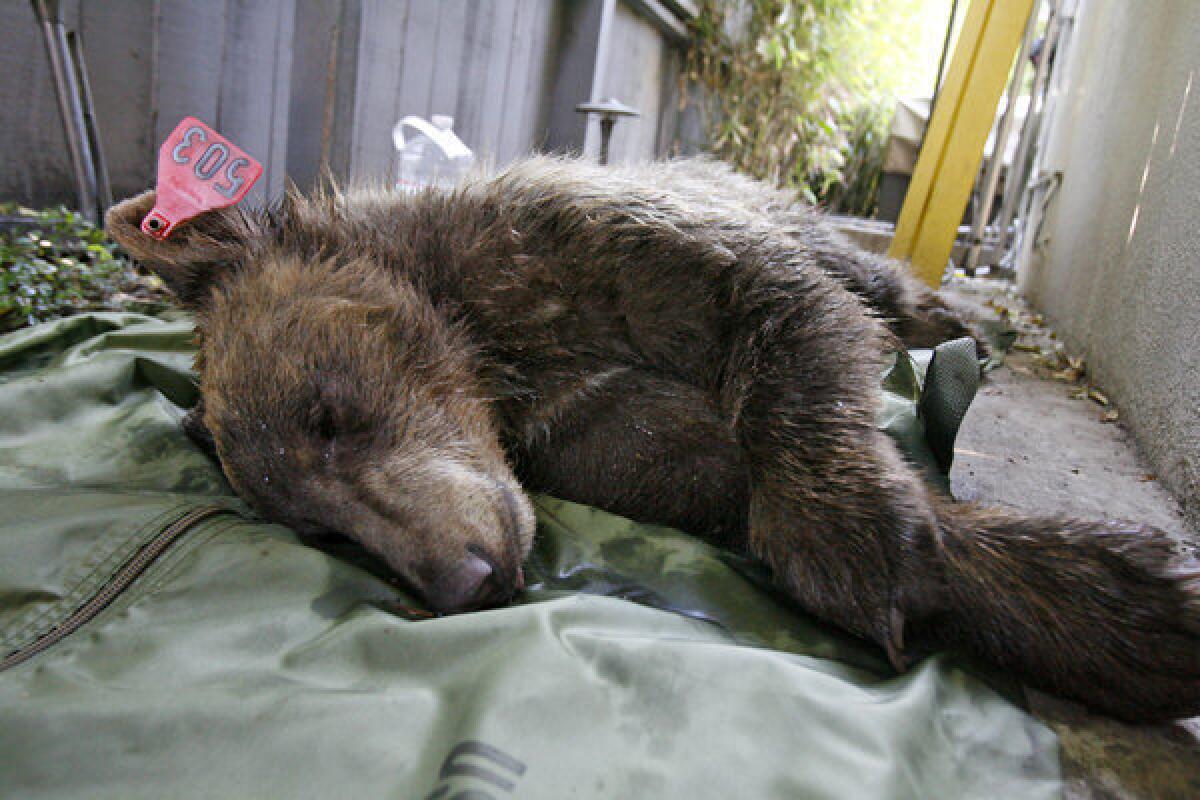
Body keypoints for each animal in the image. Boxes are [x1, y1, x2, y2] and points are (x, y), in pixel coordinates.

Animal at [105, 158, 1200, 724]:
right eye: (320, 529)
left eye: (329, 415)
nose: (463, 578)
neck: (496, 350)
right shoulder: (587, 426)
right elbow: (718, 473)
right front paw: (1117, 609)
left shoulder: (615, 256)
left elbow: (789, 326)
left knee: (878, 287)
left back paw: (961, 324)